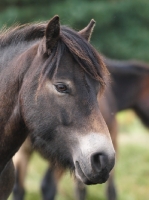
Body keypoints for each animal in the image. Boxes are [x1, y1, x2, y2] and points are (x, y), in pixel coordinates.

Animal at [11, 55, 149, 200]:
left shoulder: (85, 160)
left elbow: (80, 188)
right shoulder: (110, 145)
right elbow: (110, 190)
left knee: (19, 188)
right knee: (48, 186)